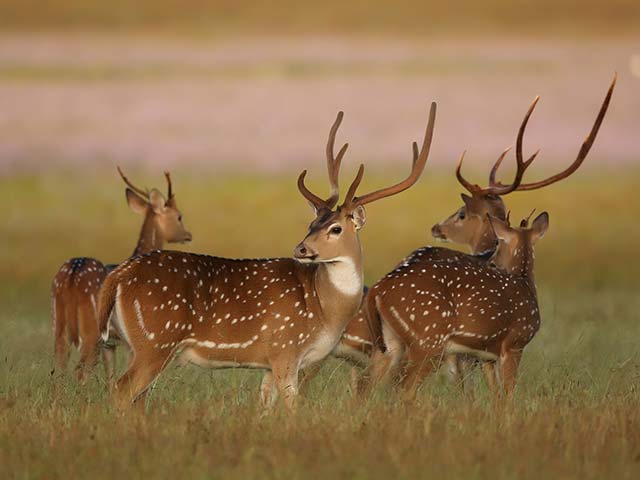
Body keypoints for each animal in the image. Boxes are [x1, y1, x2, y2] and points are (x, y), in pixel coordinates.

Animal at [51, 169, 192, 384]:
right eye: (179, 216)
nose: (188, 235)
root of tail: (72, 276)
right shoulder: (129, 341)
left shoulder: (110, 344)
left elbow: (111, 376)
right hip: (91, 332)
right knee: (80, 370)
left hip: (57, 324)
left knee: (59, 366)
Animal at [96, 104, 437, 412]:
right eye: (312, 224)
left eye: (334, 227)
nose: (301, 249)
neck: (324, 309)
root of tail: (119, 274)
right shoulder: (285, 347)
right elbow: (292, 409)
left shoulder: (269, 362)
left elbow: (264, 409)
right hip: (156, 339)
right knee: (122, 390)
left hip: (135, 344)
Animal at [360, 76, 615, 400]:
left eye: (461, 214)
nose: (436, 227)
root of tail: (378, 290)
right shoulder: (495, 349)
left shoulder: (484, 354)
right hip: (427, 341)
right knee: (399, 389)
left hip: (399, 345)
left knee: (370, 387)